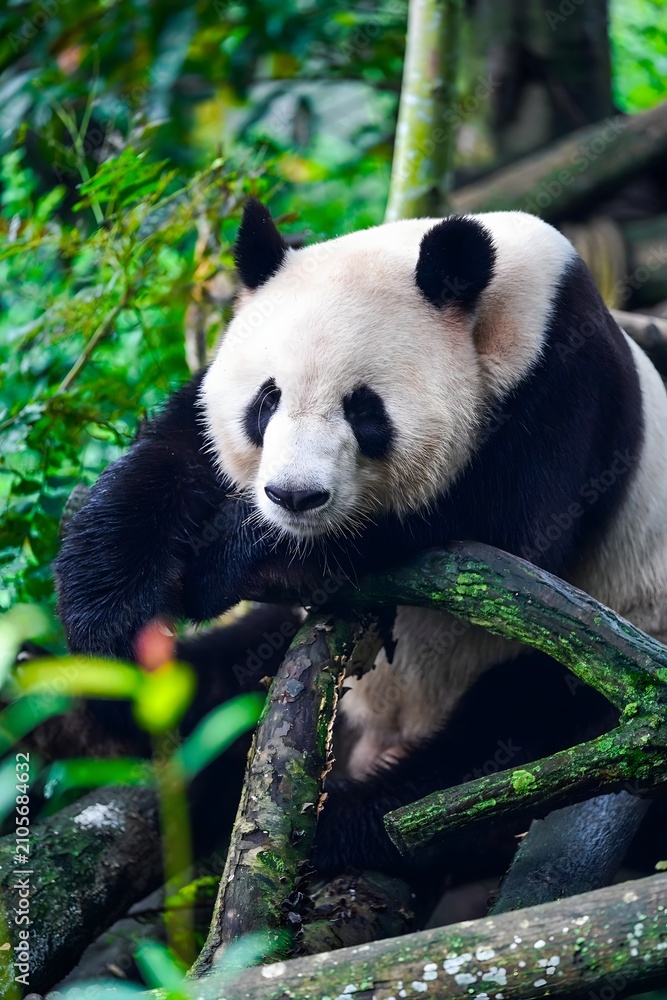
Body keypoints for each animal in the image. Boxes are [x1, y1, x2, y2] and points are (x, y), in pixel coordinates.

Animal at [55, 199, 667, 879]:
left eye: (364, 409)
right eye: (266, 401)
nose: (293, 497)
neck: (499, 306)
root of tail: (375, 734)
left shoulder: (564, 380)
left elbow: (508, 533)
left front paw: (228, 562)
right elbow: (175, 454)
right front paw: (106, 609)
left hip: (606, 648)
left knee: (513, 742)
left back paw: (346, 823)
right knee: (224, 675)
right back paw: (94, 709)